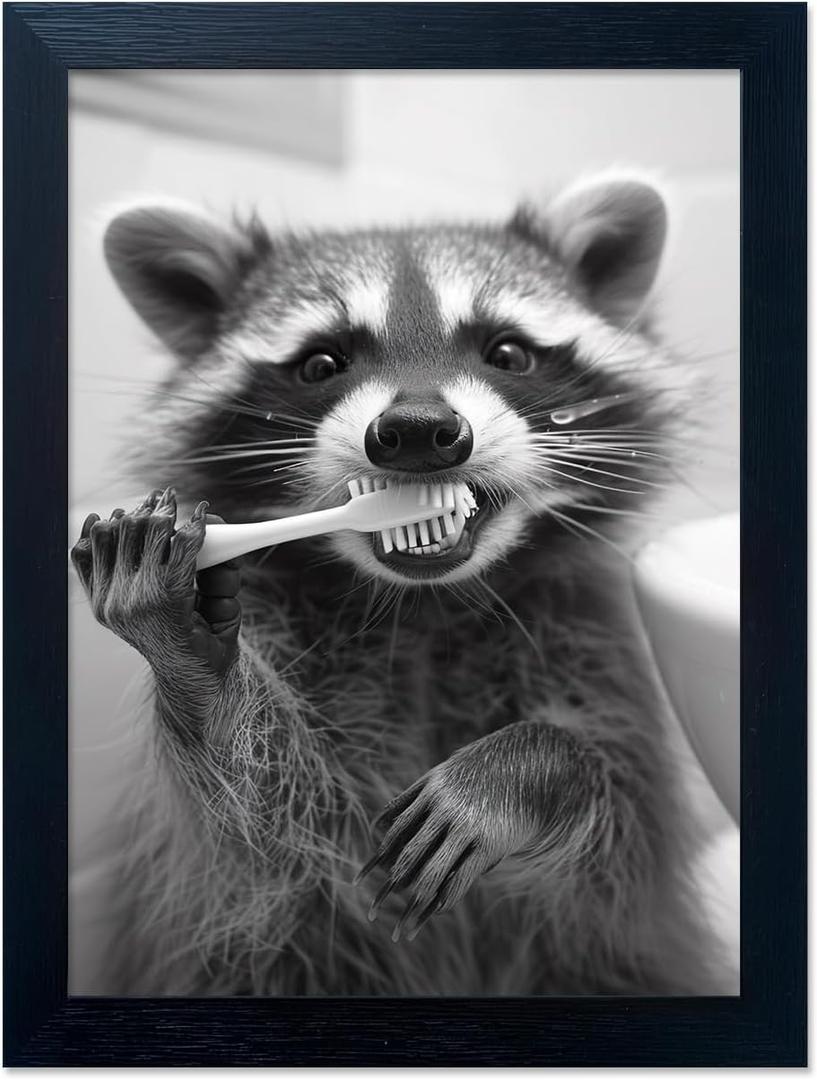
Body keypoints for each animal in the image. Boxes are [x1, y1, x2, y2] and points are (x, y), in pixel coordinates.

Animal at [72, 173, 730, 995]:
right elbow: (261, 834)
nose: (418, 430)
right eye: (321, 364)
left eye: (508, 351)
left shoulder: (595, 653)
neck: (424, 605)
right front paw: (195, 665)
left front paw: (529, 768)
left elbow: (615, 859)